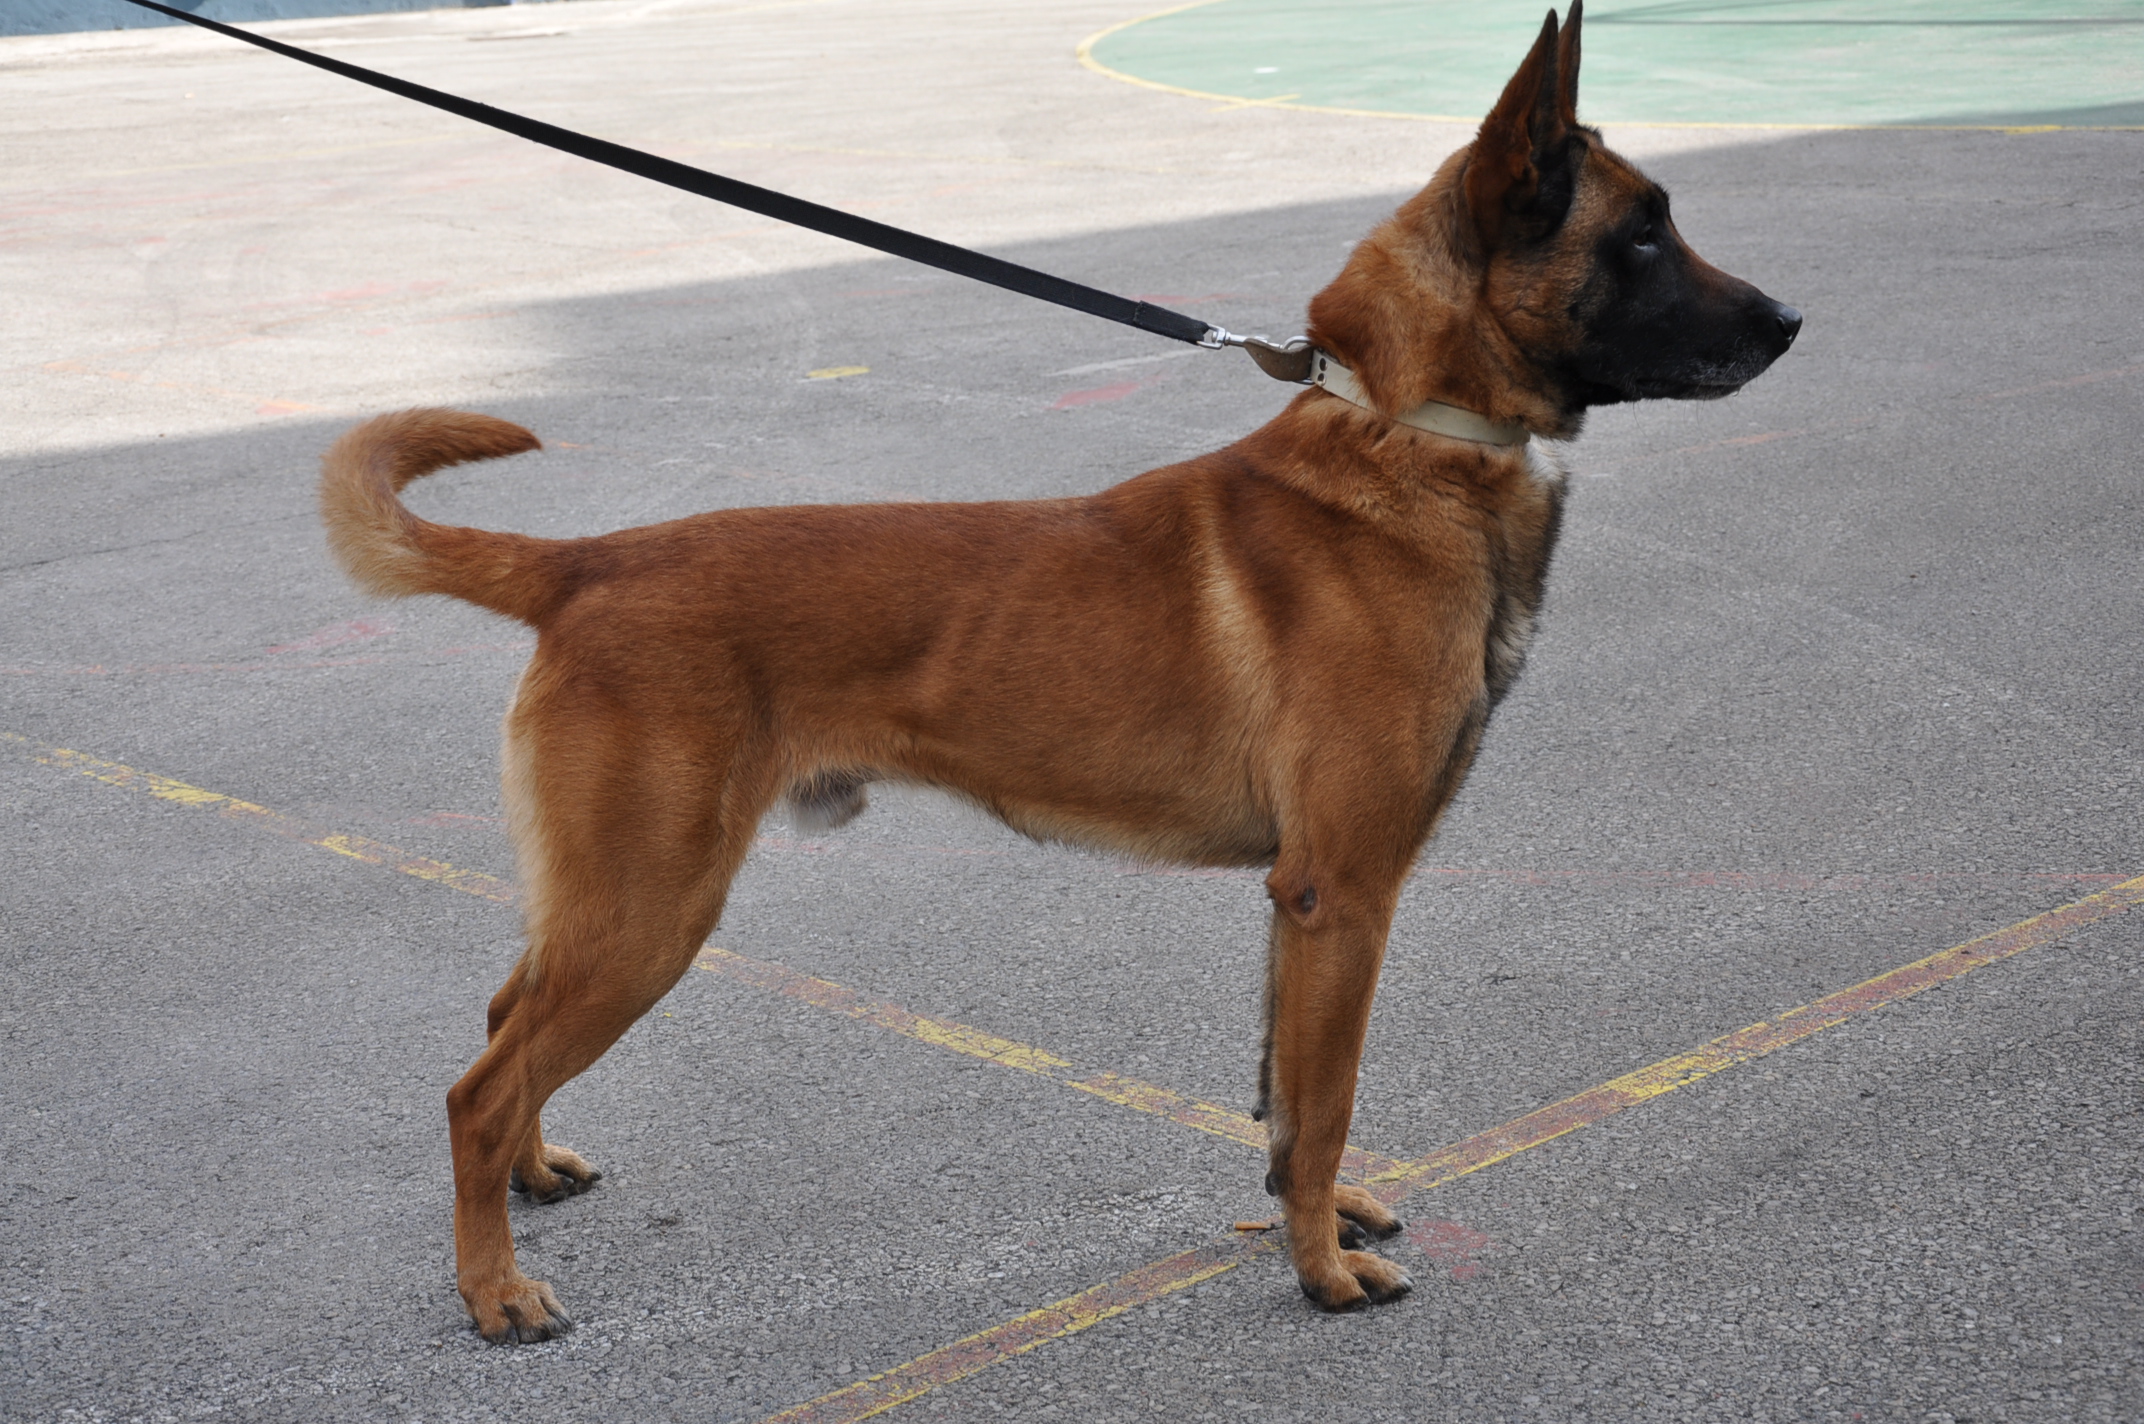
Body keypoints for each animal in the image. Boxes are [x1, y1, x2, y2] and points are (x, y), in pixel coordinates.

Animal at [317, 2, 1792, 1338]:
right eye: (1641, 233)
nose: (1788, 319)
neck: (1407, 431)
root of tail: (589, 562)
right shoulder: (1345, 894)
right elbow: (1323, 1103)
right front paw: (1320, 1273)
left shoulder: (1298, 903)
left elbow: (1288, 1099)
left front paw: (1317, 1219)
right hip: (648, 913)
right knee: (476, 1087)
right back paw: (494, 1291)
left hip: (606, 904)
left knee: (501, 1021)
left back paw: (531, 1181)